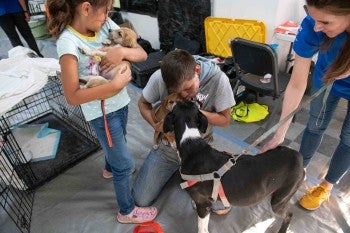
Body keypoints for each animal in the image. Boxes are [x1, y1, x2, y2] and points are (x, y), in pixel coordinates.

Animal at [163, 101, 304, 233]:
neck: (190, 142)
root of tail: (298, 157)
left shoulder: (203, 205)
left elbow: (201, 227)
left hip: (280, 199)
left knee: (289, 214)